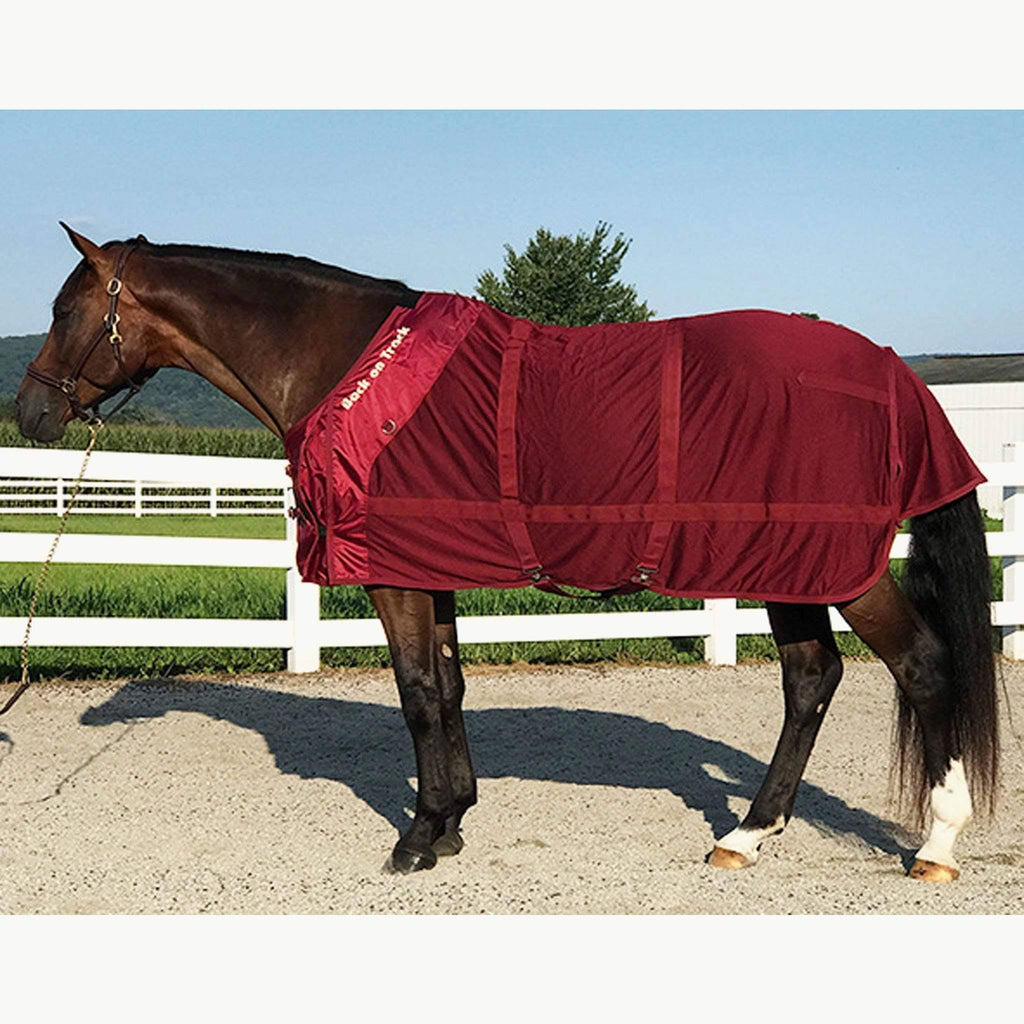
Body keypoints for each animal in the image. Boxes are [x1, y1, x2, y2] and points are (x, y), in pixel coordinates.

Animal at [14, 224, 999, 881]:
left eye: (64, 308)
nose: (30, 412)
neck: (348, 367)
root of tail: (892, 370)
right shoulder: (433, 567)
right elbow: (448, 687)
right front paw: (452, 818)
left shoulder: (394, 573)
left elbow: (416, 694)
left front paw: (417, 838)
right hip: (786, 564)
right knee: (810, 679)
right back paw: (748, 835)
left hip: (833, 565)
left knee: (920, 665)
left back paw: (936, 844)